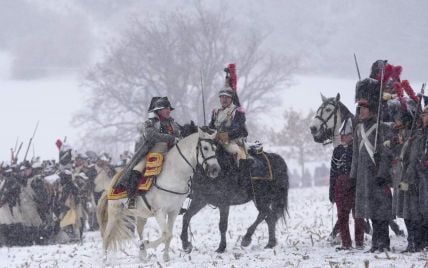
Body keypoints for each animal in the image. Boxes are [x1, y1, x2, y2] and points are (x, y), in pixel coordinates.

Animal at [97, 129, 221, 262]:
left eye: (215, 148)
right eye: (205, 147)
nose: (215, 170)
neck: (173, 174)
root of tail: (112, 183)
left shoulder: (173, 211)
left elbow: (169, 234)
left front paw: (165, 257)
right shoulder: (160, 212)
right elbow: (166, 234)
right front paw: (146, 245)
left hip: (140, 215)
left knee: (139, 231)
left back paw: (142, 255)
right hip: (114, 213)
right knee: (106, 236)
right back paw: (104, 260)